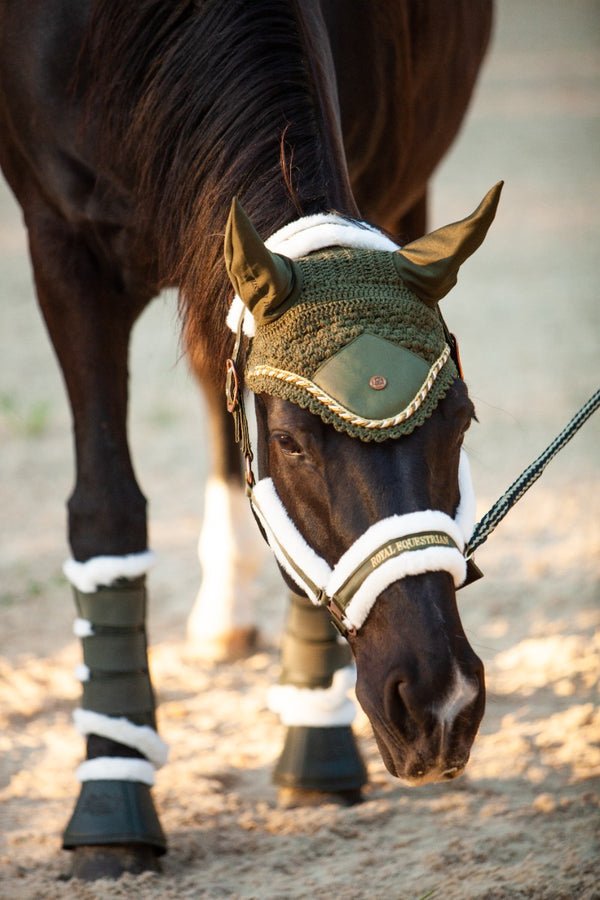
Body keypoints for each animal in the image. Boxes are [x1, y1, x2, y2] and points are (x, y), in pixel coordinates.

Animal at [0, 0, 494, 880]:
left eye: (461, 420)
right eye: (292, 442)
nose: (441, 705)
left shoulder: (380, 177)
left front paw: (319, 752)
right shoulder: (62, 244)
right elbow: (105, 511)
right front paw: (111, 798)